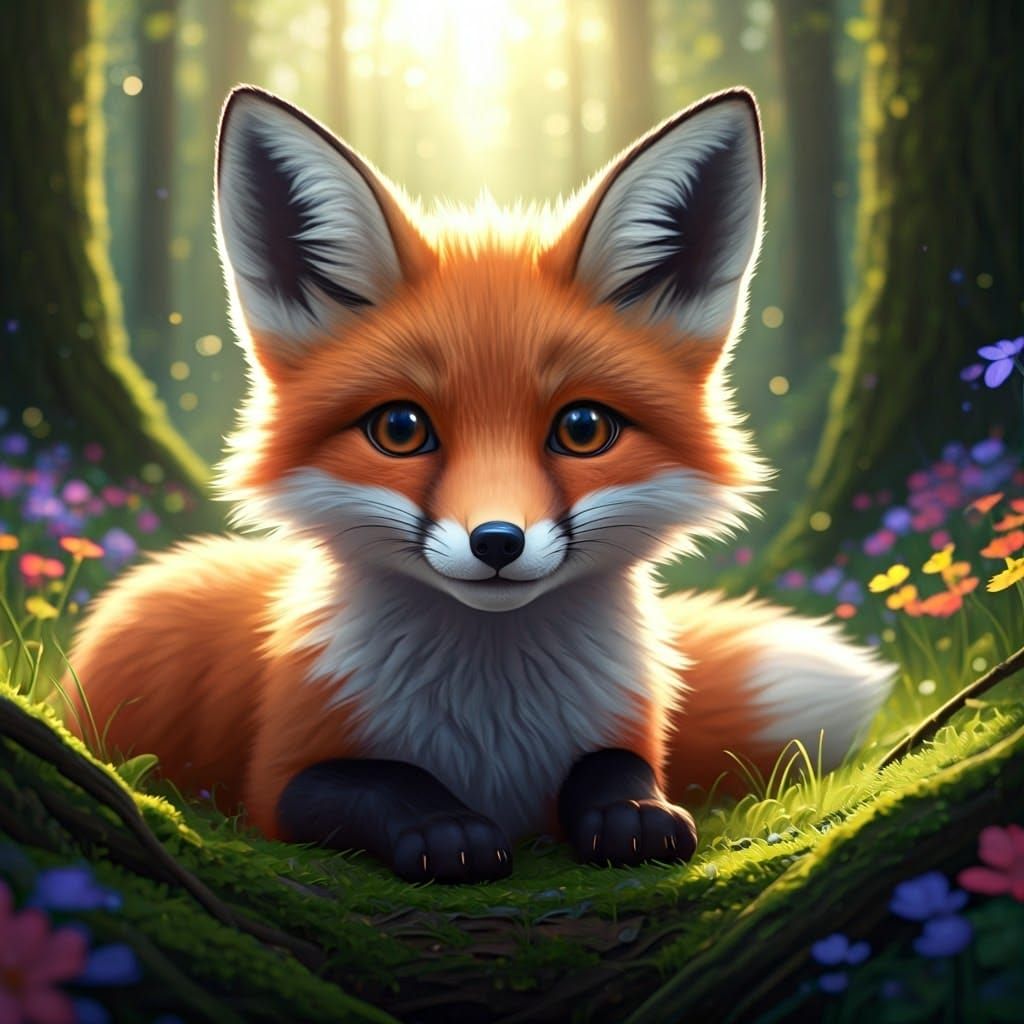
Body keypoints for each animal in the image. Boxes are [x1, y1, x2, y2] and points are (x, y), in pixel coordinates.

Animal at [67, 85, 893, 884]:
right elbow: (378, 781)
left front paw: (633, 813)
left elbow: (614, 765)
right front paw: (447, 830)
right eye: (400, 428)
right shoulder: (280, 776)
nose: (497, 541)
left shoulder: (624, 726)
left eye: (583, 428)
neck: (493, 724)